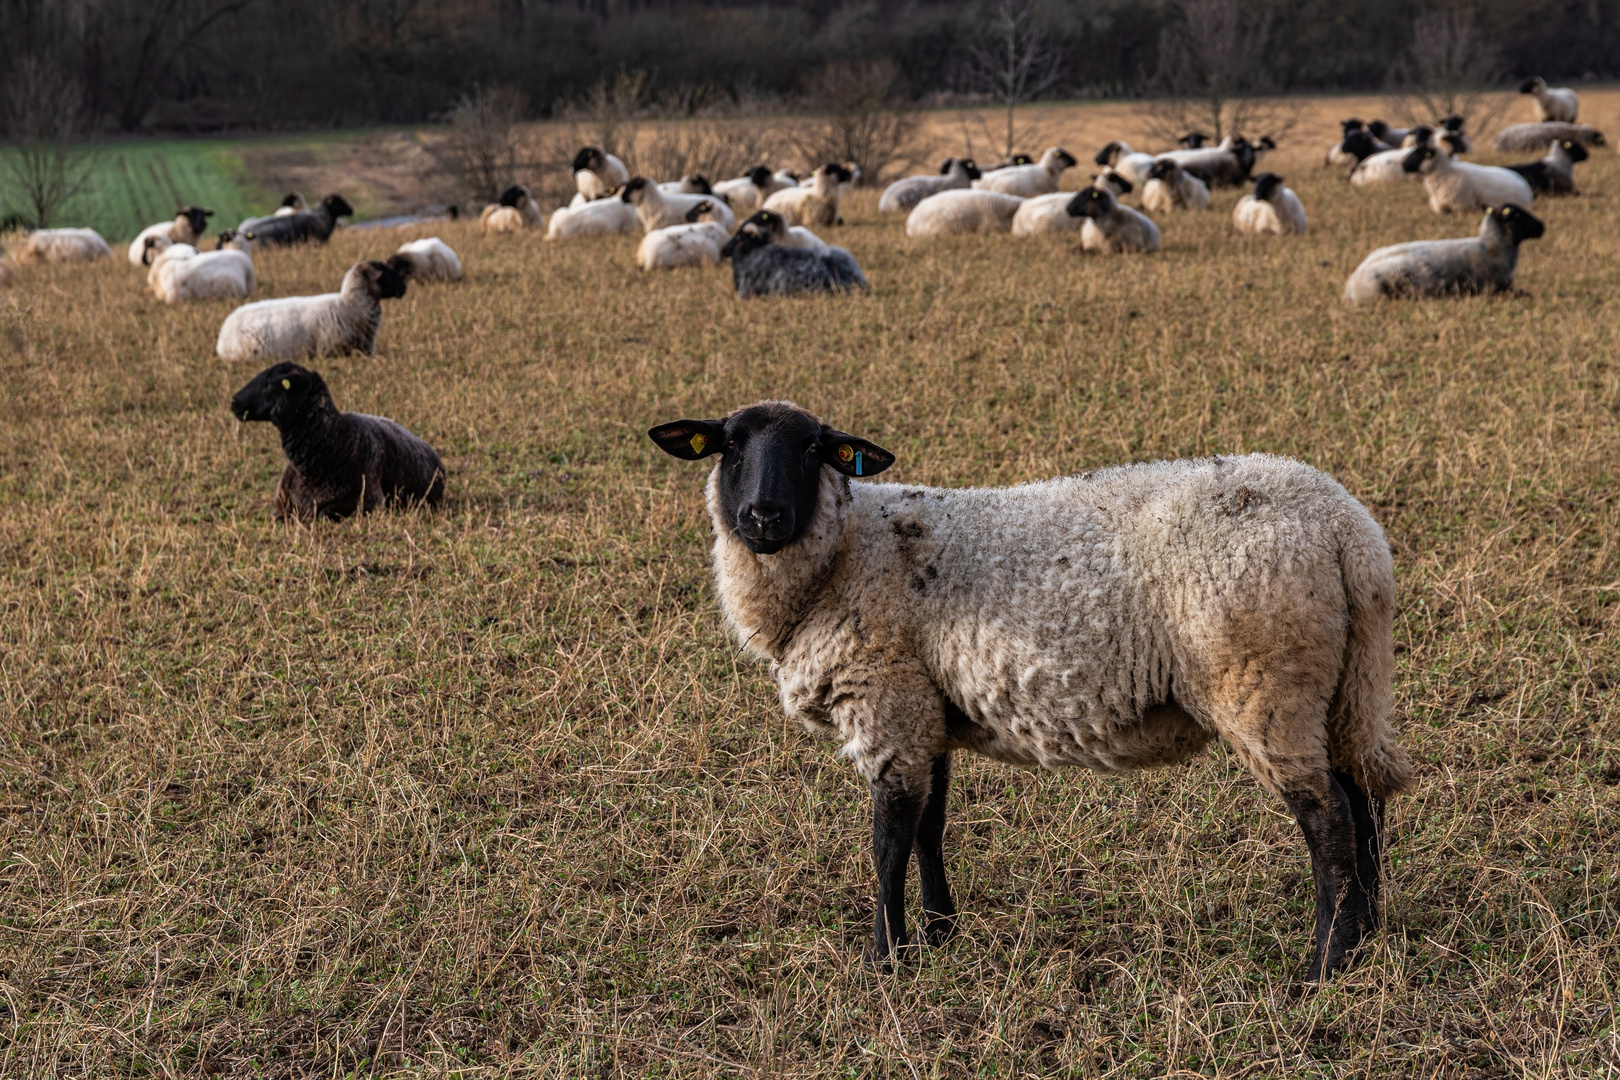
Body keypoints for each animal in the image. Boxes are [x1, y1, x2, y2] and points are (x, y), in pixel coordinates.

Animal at [228, 362, 443, 524]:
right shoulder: (282, 502)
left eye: (268, 384)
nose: (233, 402)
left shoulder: (370, 501)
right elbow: (278, 516)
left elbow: (324, 514)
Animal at [641, 401, 1406, 984]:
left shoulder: (887, 701)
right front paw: (939, 933)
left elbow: (888, 839)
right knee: (1363, 798)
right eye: (729, 446)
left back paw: (1322, 963)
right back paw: (1366, 934)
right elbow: (929, 826)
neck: (843, 553)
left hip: (1266, 683)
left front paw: (885, 959)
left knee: (1328, 818)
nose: (762, 517)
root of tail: (1350, 534)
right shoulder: (927, 710)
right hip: (1348, 684)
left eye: (813, 448)